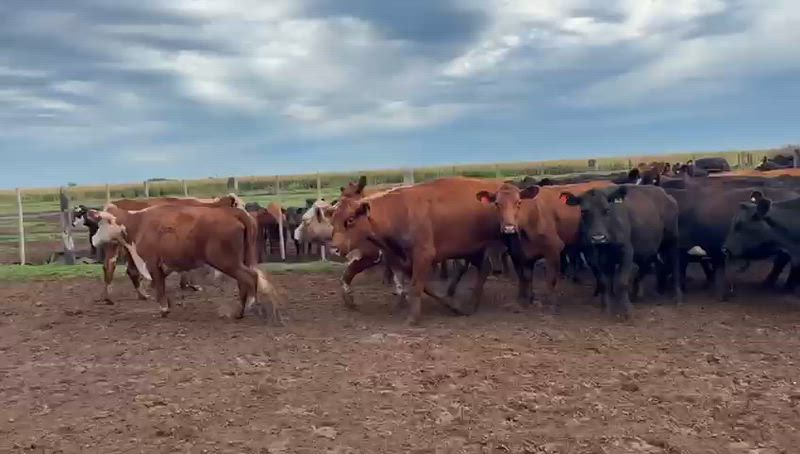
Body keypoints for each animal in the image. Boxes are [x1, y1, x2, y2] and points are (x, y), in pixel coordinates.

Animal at [90, 203, 285, 323]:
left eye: (100, 224)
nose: (93, 240)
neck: (138, 224)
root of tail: (233, 212)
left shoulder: (152, 264)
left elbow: (159, 287)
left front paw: (163, 309)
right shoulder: (164, 266)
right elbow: (161, 286)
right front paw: (168, 305)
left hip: (227, 261)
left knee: (249, 277)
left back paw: (248, 306)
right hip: (240, 260)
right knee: (244, 281)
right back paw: (241, 311)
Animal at [475, 180, 612, 312]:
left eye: (519, 202)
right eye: (497, 204)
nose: (509, 228)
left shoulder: (554, 249)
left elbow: (551, 279)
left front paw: (551, 304)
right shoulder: (516, 253)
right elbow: (524, 277)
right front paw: (524, 300)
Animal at [562, 185, 682, 319]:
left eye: (607, 210)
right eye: (583, 212)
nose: (598, 238)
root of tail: (665, 194)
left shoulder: (627, 252)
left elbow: (622, 282)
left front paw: (627, 311)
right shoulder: (594, 257)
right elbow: (604, 282)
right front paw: (606, 308)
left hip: (672, 240)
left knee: (675, 265)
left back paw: (677, 297)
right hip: (647, 248)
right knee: (644, 267)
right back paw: (635, 293)